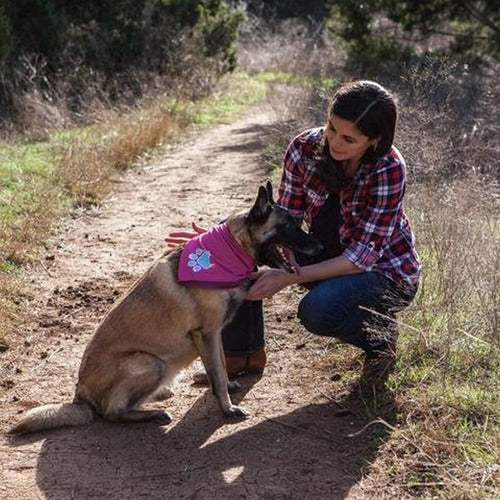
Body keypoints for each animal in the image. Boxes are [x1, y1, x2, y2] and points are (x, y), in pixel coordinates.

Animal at [10, 181, 324, 434]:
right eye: (288, 226)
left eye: (298, 222)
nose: (321, 247)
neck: (229, 249)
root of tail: (80, 396)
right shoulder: (207, 334)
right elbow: (217, 373)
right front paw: (227, 407)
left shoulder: (214, 335)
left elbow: (221, 366)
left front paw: (228, 387)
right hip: (150, 363)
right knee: (112, 413)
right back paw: (152, 413)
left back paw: (158, 397)